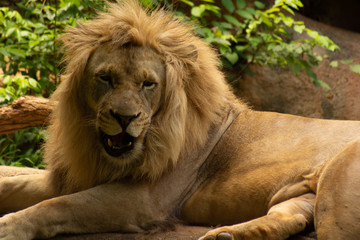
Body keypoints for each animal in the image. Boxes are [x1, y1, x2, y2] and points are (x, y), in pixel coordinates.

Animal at [0, 0, 360, 239]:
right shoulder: (74, 177)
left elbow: (56, 206)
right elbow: (16, 184)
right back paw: (225, 235)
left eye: (148, 84)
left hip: (334, 194)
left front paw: (8, 226)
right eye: (106, 78)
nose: (124, 117)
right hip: (304, 196)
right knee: (289, 217)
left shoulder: (143, 199)